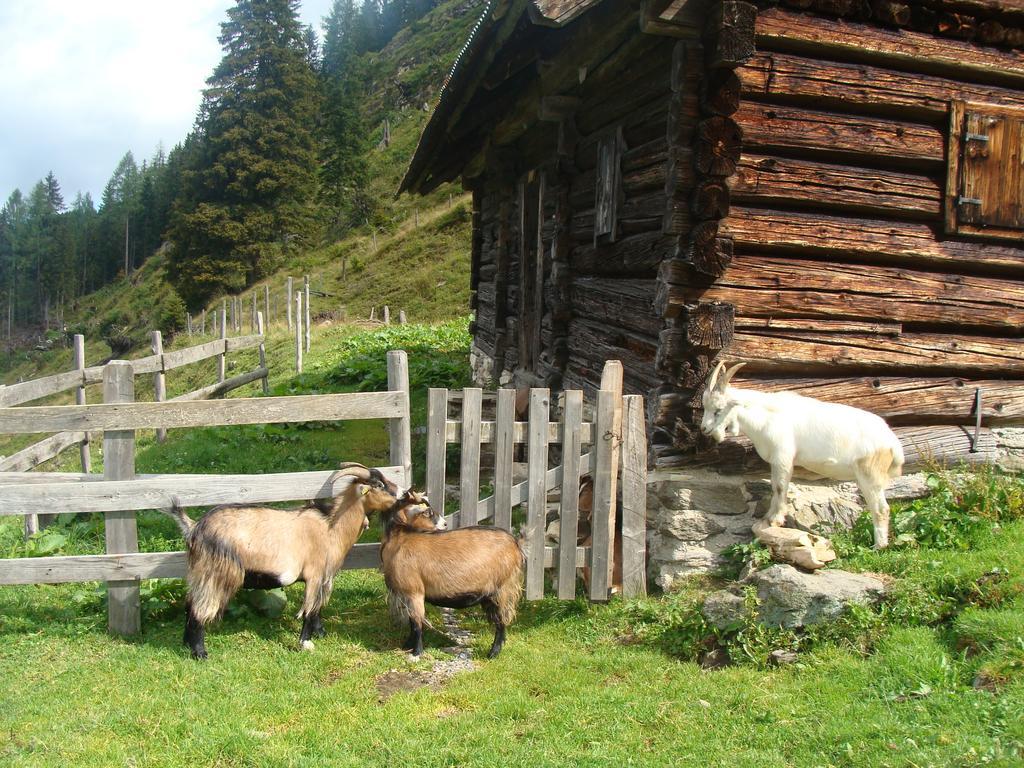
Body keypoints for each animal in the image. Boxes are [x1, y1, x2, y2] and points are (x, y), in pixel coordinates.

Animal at [164, 462, 399, 663]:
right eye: (379, 485)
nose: (401, 492)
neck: (331, 526)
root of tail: (194, 527)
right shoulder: (314, 574)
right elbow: (309, 608)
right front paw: (305, 642)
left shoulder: (325, 576)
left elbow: (318, 607)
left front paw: (321, 633)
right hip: (216, 573)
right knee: (199, 609)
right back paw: (200, 653)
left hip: (199, 572)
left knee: (189, 604)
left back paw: (186, 645)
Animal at [378, 501, 524, 659]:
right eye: (427, 512)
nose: (445, 524)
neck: (400, 541)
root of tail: (515, 543)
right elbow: (412, 622)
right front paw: (407, 646)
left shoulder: (414, 591)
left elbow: (417, 623)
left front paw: (417, 652)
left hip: (502, 589)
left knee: (502, 620)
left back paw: (493, 653)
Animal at [704, 360, 905, 548]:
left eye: (719, 410)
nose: (704, 429)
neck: (767, 416)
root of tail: (892, 441)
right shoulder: (776, 461)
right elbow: (775, 487)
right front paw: (769, 517)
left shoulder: (783, 458)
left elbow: (780, 487)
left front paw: (776, 519)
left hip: (869, 474)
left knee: (881, 509)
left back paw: (878, 546)